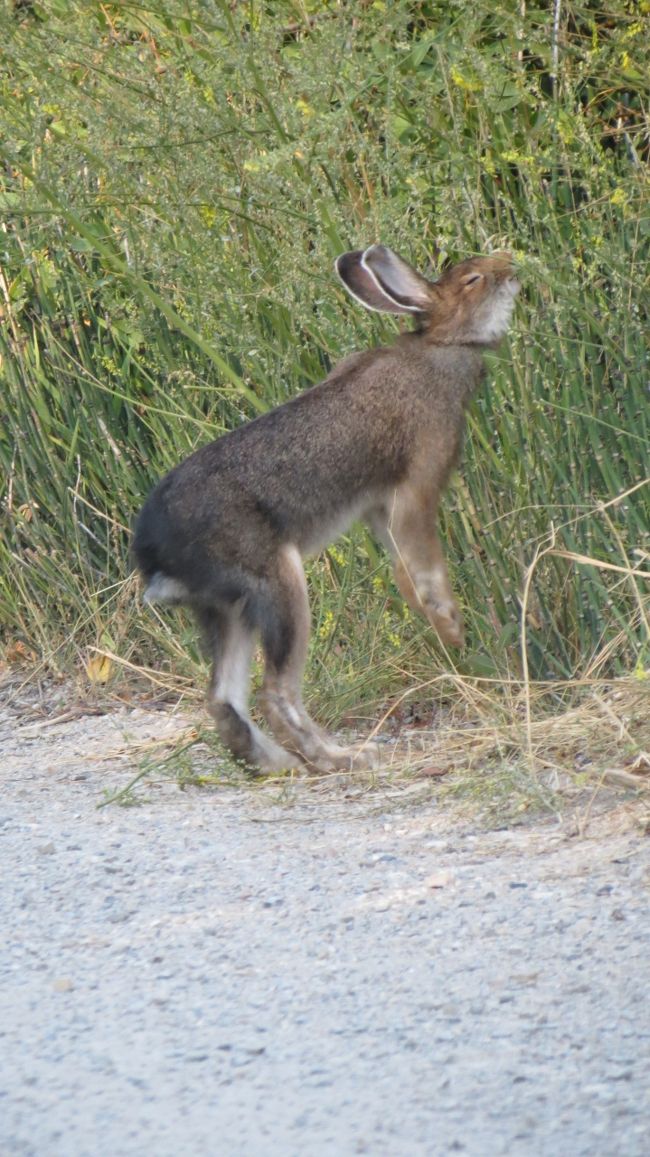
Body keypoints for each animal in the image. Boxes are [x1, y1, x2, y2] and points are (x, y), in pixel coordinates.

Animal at [134, 246, 518, 777]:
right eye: (474, 279)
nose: (512, 270)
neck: (440, 344)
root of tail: (153, 555)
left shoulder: (378, 508)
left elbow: (403, 571)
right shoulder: (416, 485)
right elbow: (426, 567)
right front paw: (453, 630)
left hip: (225, 609)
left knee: (223, 699)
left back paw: (281, 764)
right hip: (275, 583)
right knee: (276, 693)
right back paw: (344, 757)